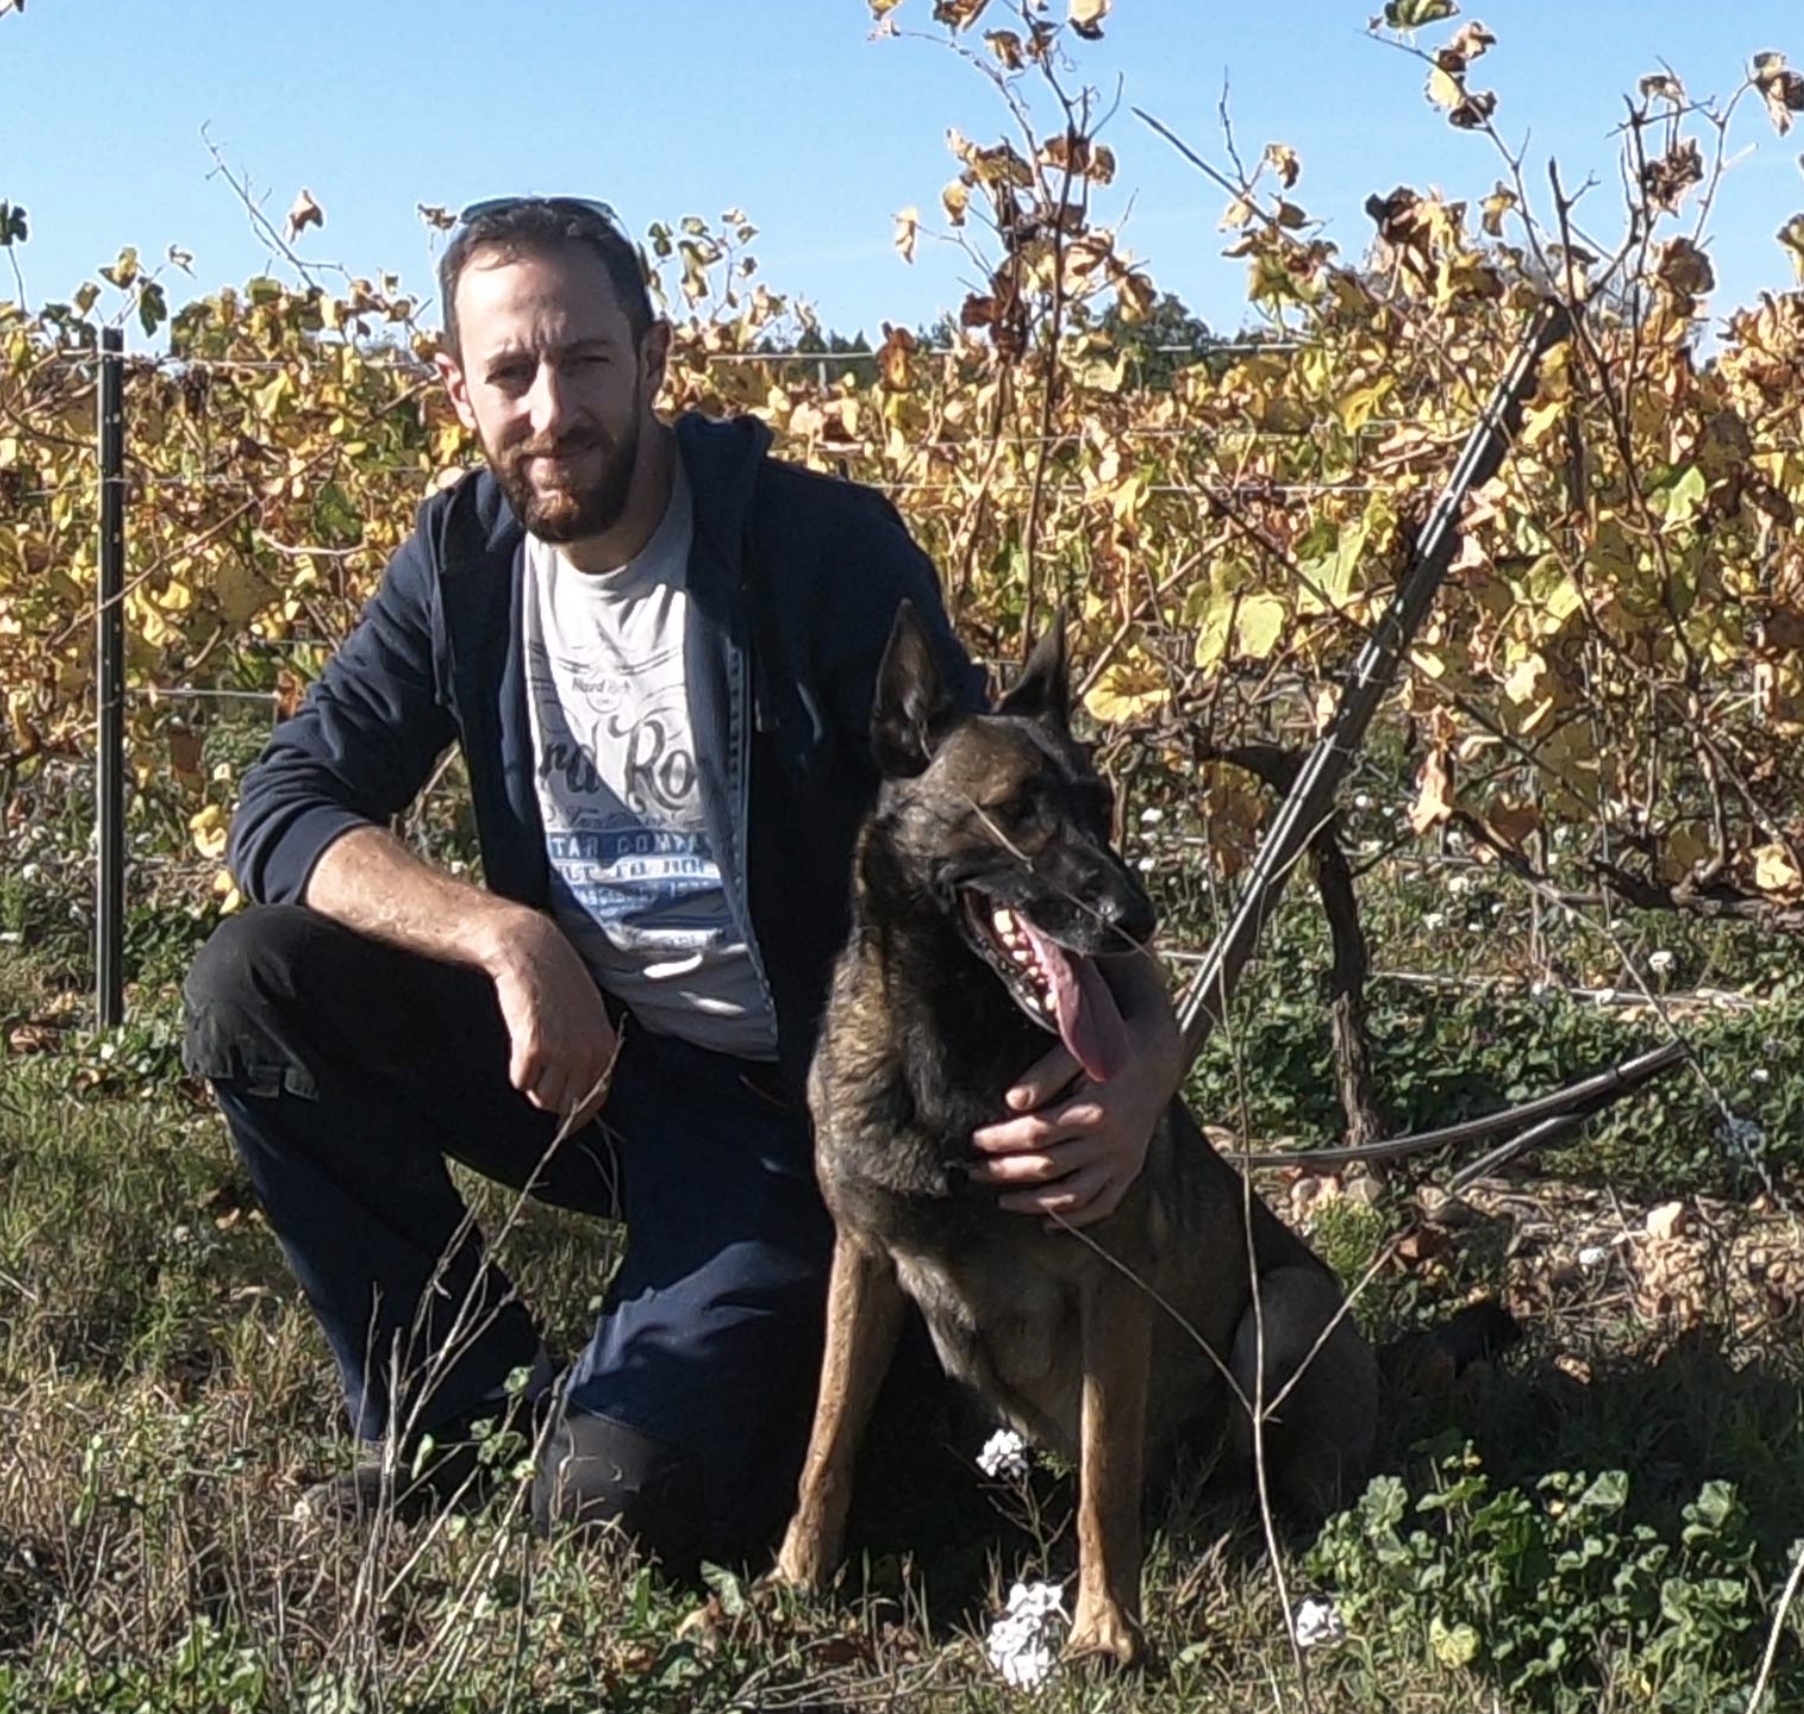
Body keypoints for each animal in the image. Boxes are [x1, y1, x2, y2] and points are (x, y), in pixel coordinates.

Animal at [775, 602, 1378, 1667]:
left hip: (1288, 1310)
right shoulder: (866, 1258)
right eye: (1016, 809)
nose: (1136, 919)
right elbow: (827, 1439)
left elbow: (1104, 1479)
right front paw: (794, 1583)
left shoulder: (1113, 1284)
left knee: (1266, 1481)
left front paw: (1109, 1629)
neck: (955, 1055)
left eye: (1101, 807)